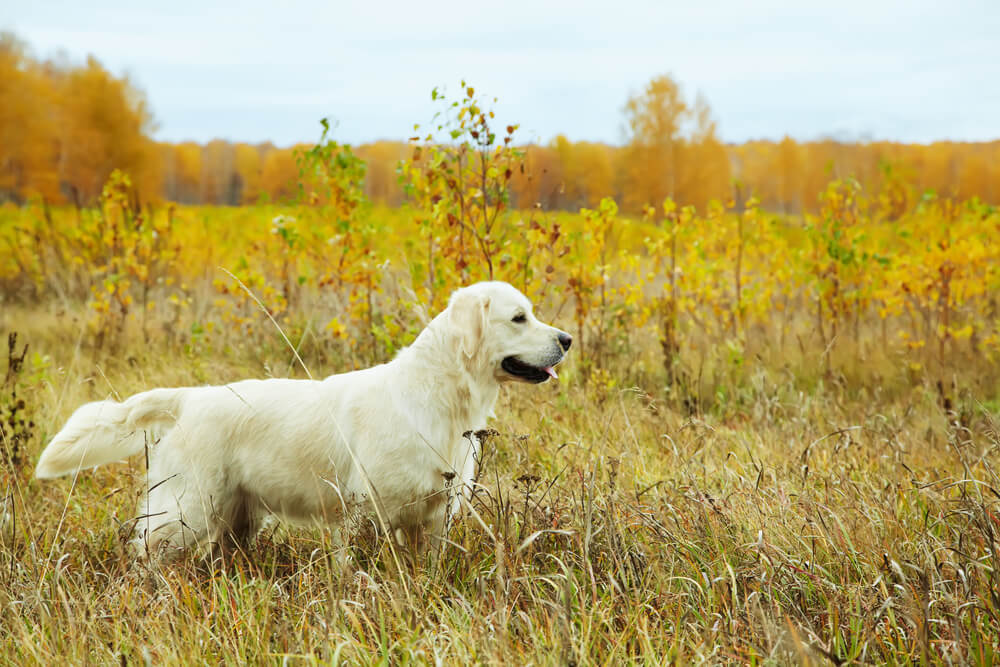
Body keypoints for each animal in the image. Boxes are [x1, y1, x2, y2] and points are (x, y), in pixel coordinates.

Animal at [35, 281, 571, 556]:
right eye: (519, 317)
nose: (567, 340)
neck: (439, 395)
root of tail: (189, 398)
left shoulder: (435, 516)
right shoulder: (364, 511)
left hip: (234, 518)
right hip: (187, 508)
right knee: (145, 551)